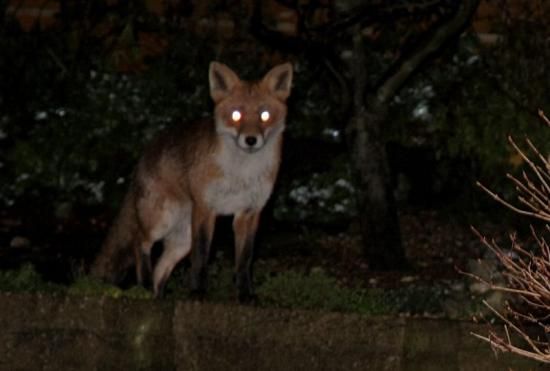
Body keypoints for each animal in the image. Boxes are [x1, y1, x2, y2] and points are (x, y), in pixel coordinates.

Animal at [91, 61, 294, 302]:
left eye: (264, 115)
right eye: (236, 114)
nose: (251, 140)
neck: (241, 173)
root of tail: (144, 155)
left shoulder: (249, 213)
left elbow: (244, 260)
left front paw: (246, 295)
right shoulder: (205, 207)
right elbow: (201, 256)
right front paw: (198, 292)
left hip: (181, 240)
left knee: (160, 268)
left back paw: (158, 297)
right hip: (161, 219)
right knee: (140, 243)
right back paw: (145, 288)